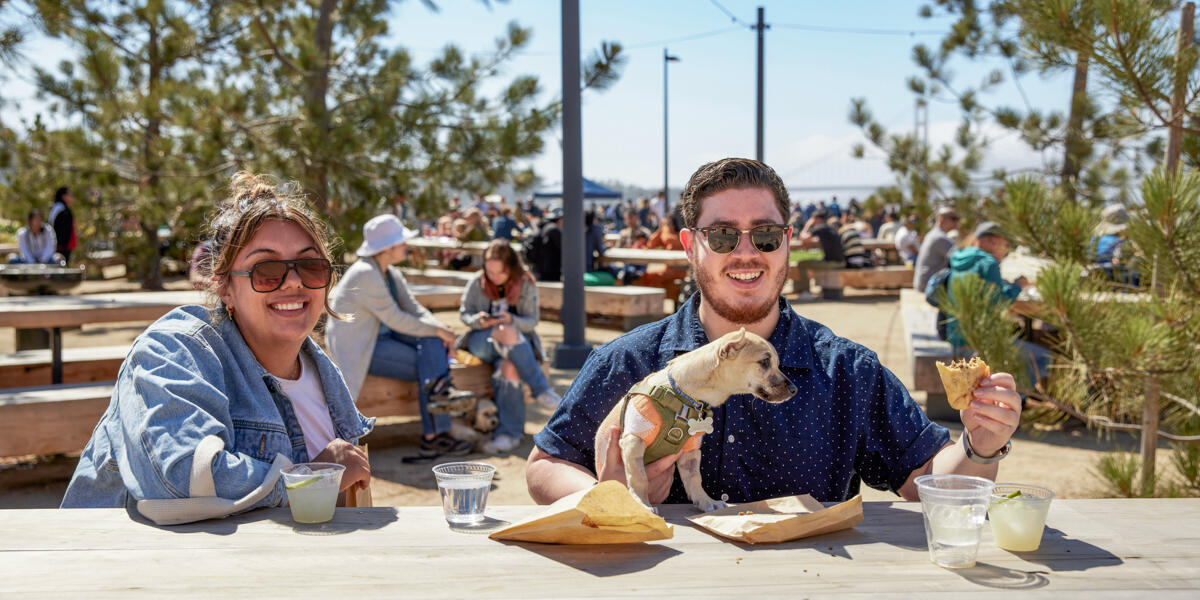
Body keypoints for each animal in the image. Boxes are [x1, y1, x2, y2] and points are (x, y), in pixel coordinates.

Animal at [592, 328, 796, 511]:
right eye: (764, 362)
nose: (794, 390)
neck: (683, 395)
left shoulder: (690, 451)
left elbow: (694, 479)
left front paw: (706, 502)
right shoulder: (634, 440)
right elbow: (639, 477)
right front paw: (642, 504)